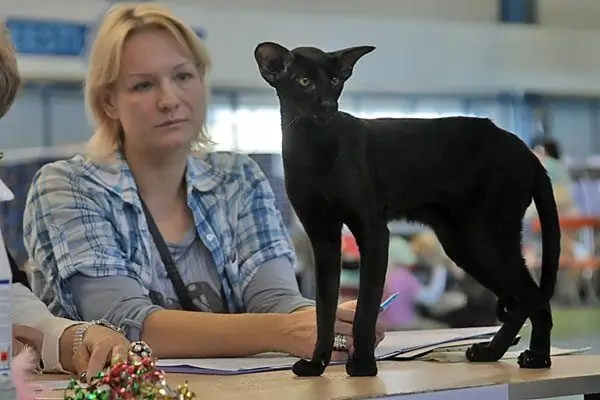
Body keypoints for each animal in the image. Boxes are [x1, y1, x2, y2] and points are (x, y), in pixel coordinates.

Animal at [254, 41, 564, 378]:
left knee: (534, 298)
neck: (312, 145)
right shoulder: (322, 238)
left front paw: (363, 365)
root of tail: (526, 150)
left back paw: (537, 358)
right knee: (521, 299)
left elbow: (366, 307)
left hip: (488, 238)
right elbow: (324, 310)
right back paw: (491, 352)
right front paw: (316, 365)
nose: (327, 104)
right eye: (305, 81)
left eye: (335, 81)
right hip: (463, 244)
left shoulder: (374, 231)